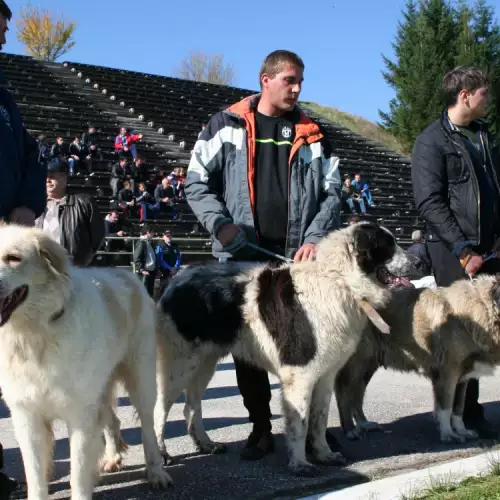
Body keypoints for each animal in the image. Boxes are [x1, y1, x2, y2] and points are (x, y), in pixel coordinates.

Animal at [0, 227, 172, 500]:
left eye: (13, 258)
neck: (35, 333)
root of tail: (126, 273)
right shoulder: (27, 416)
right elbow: (35, 475)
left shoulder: (80, 415)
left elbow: (78, 473)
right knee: (113, 421)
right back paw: (112, 458)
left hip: (140, 382)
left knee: (148, 428)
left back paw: (156, 472)